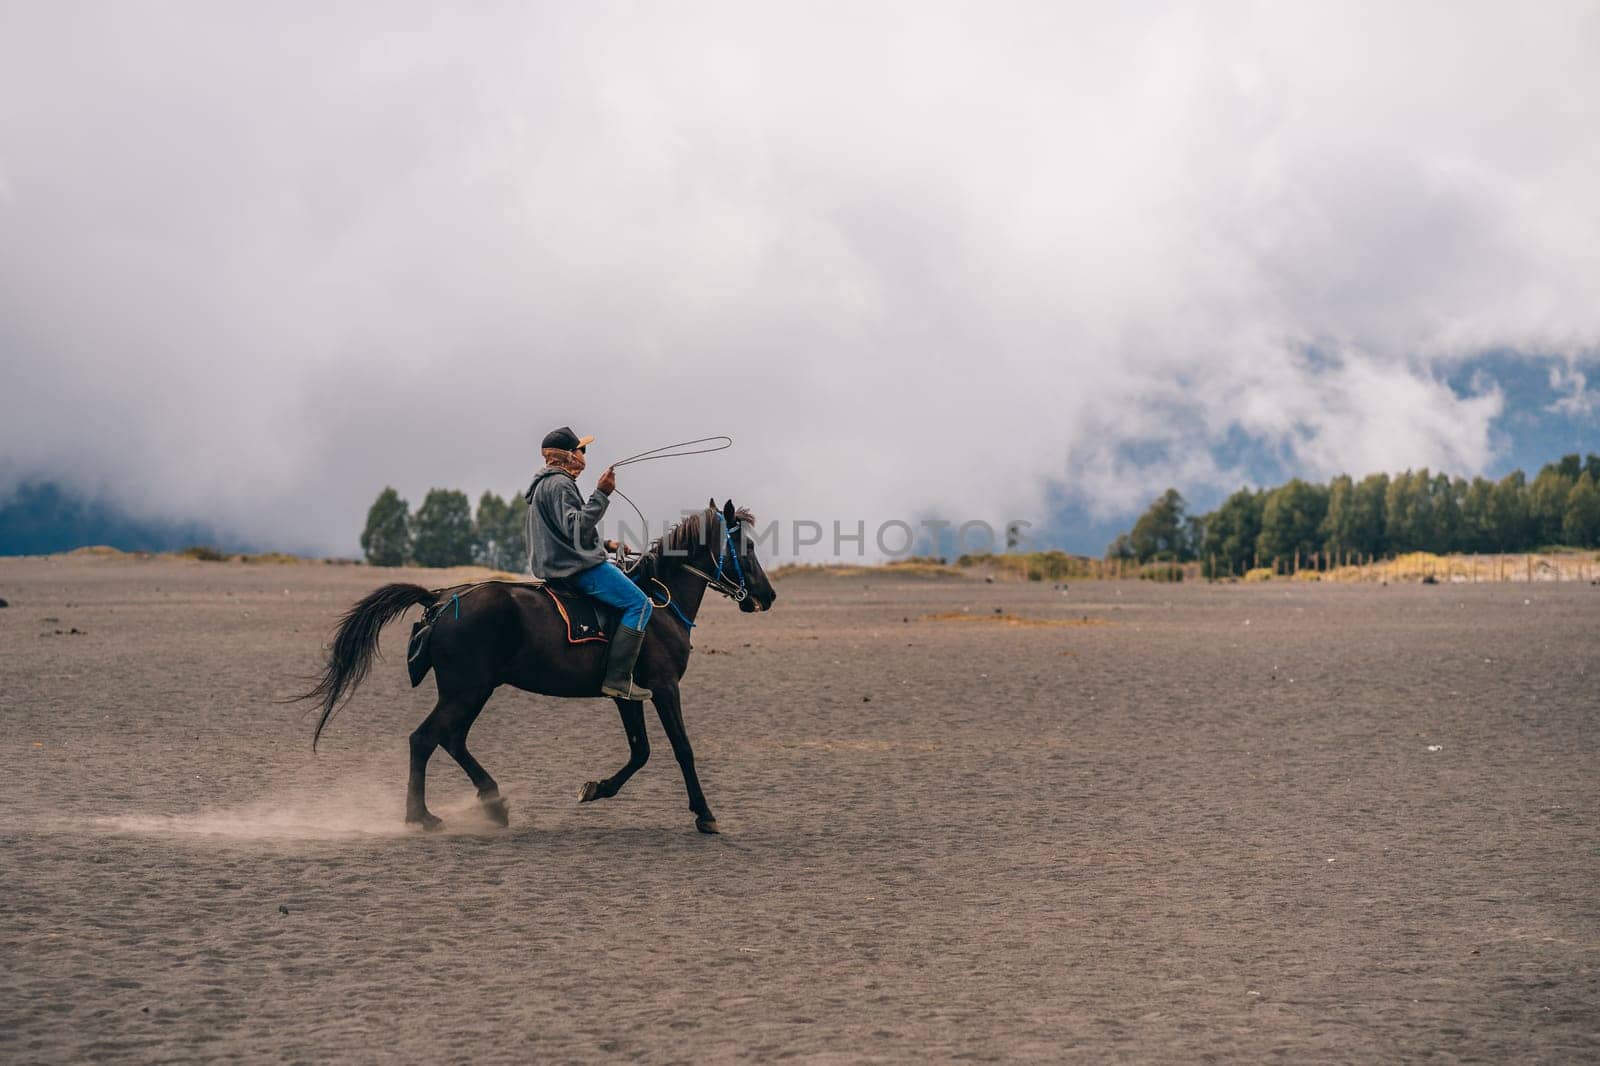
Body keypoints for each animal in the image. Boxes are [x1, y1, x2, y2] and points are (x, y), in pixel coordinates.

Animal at [302, 499, 777, 832]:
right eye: (747, 546)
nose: (768, 596)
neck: (659, 602)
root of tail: (441, 599)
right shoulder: (664, 687)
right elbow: (682, 748)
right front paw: (704, 814)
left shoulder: (627, 695)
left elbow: (640, 751)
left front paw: (595, 789)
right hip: (466, 690)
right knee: (424, 739)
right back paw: (423, 816)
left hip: (473, 690)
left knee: (450, 739)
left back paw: (493, 803)